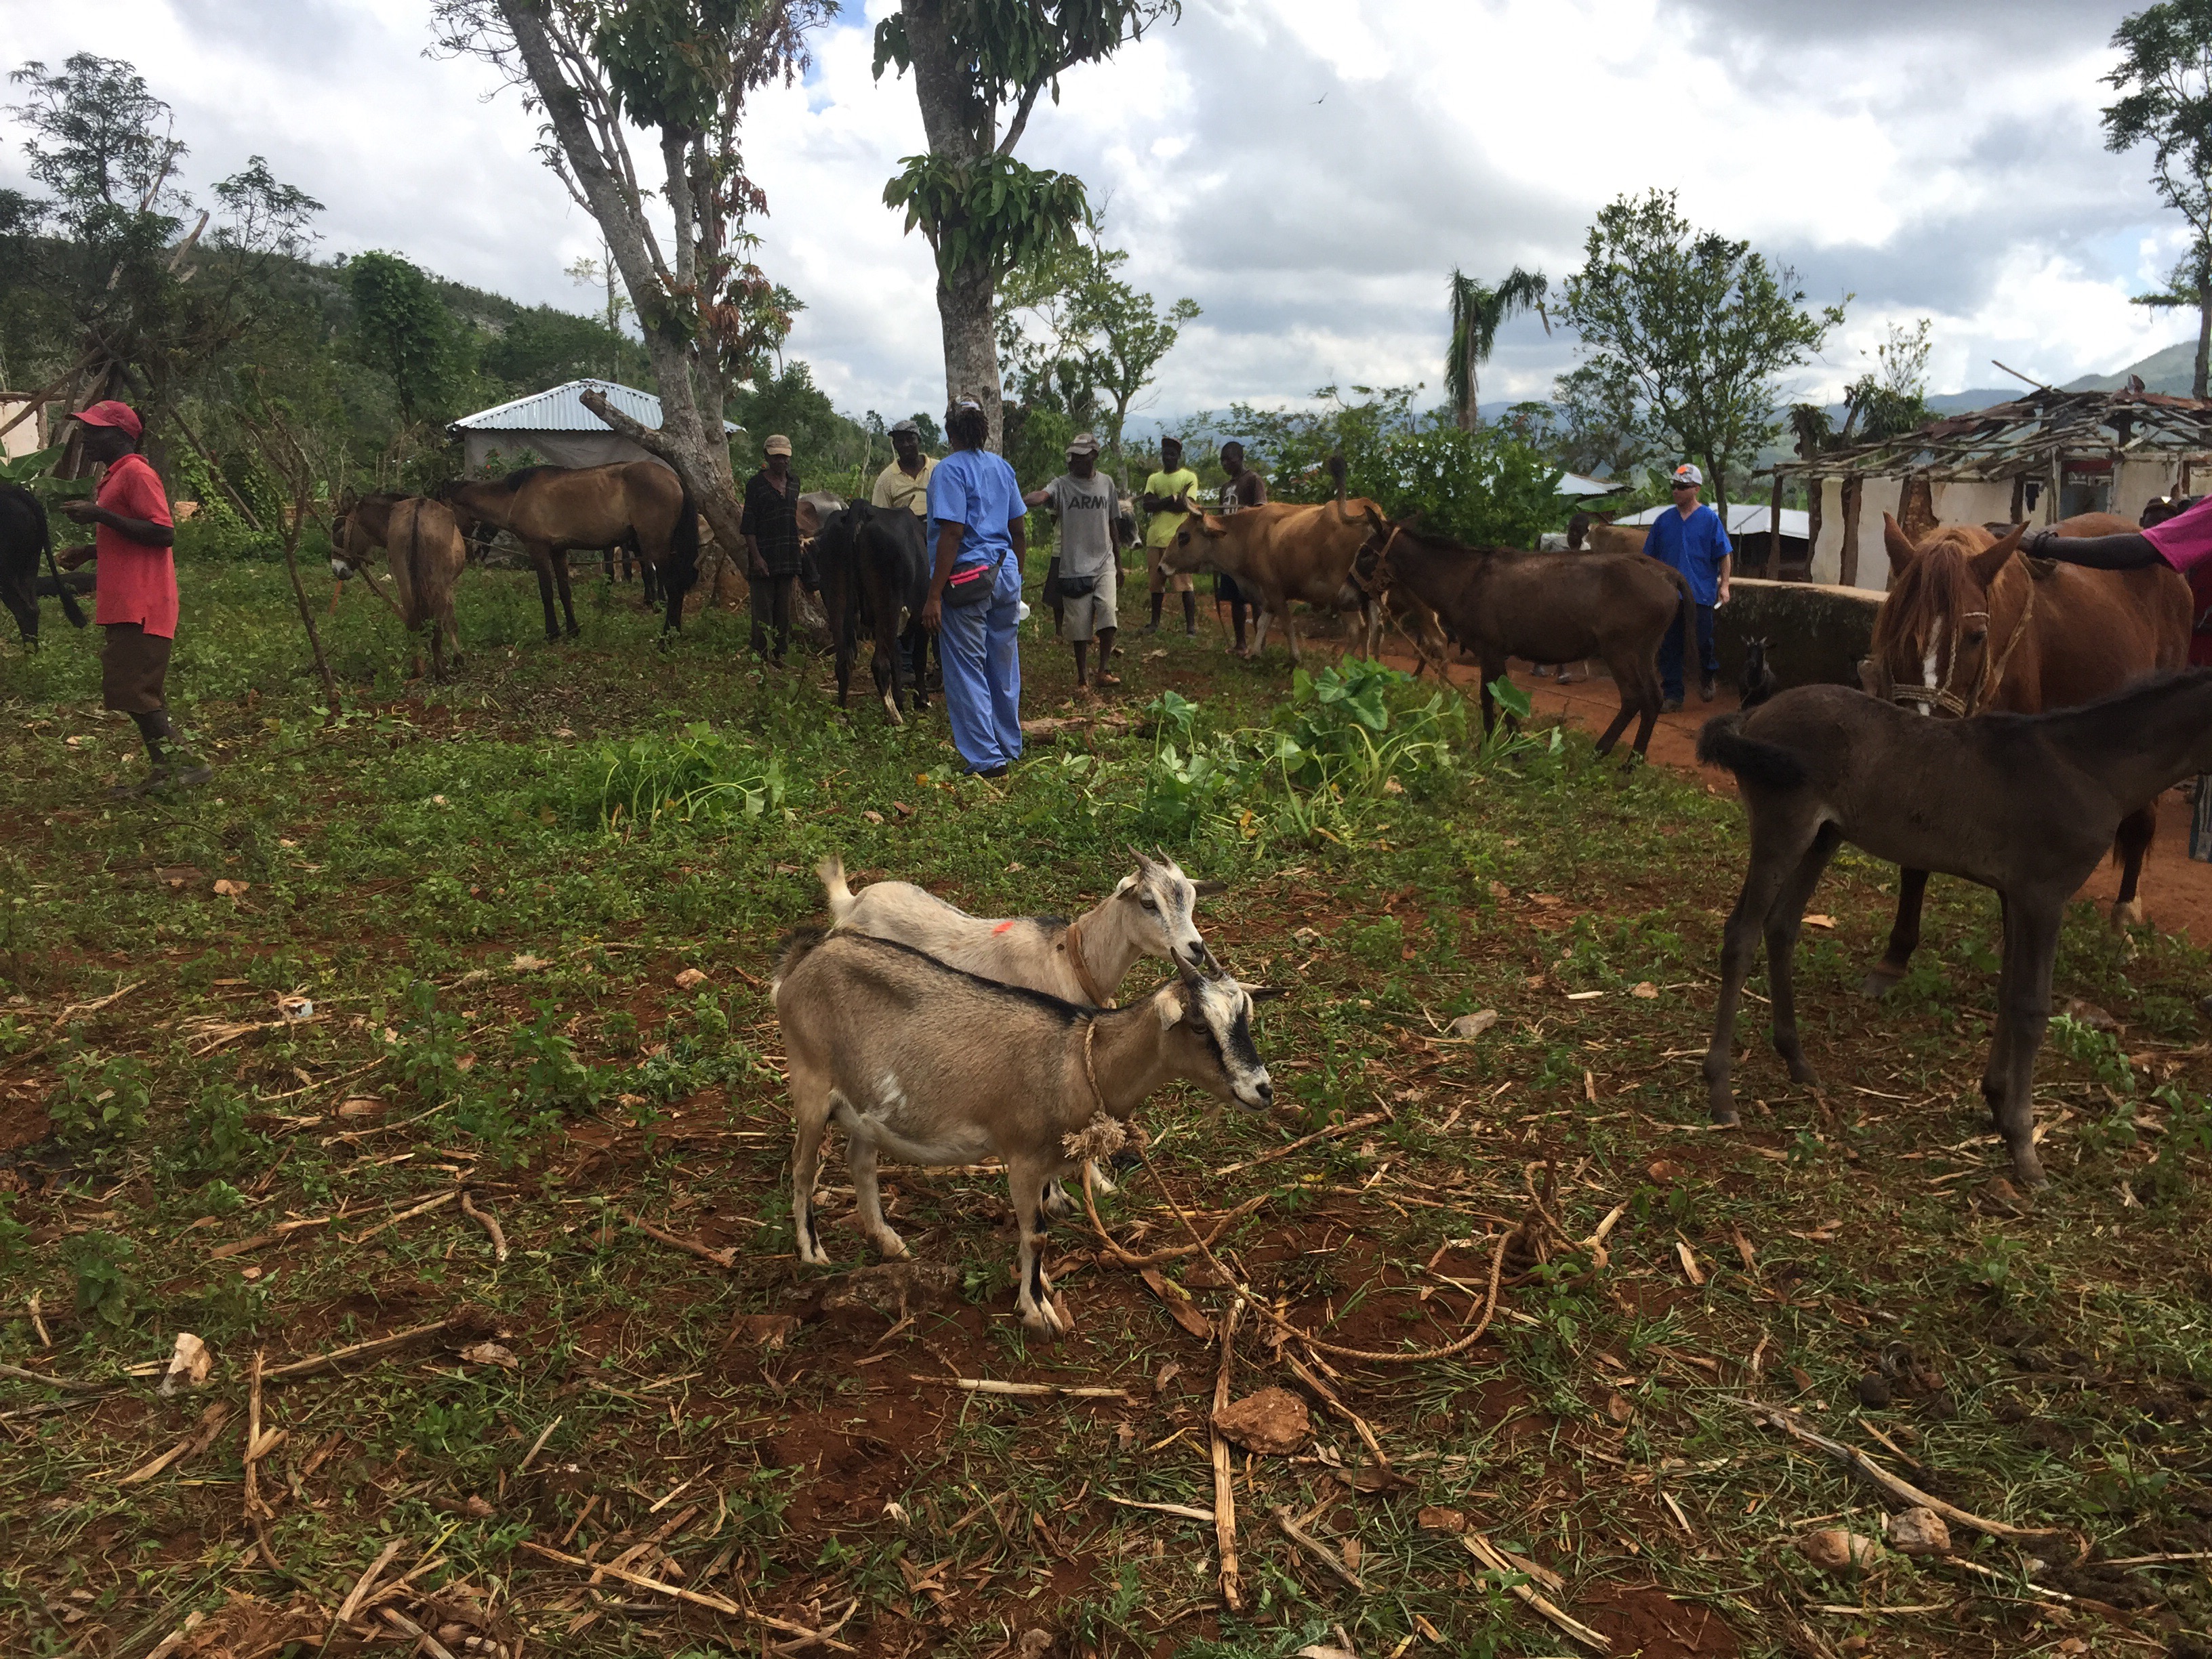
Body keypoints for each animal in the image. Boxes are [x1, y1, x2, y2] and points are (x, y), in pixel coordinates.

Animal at [436, 461, 698, 641]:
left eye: (443, 508)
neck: (517, 495)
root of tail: (674, 478)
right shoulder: (559, 551)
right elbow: (564, 591)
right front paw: (573, 630)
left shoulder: (538, 550)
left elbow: (546, 592)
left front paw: (552, 633)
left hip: (656, 547)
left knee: (673, 587)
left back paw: (666, 637)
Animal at [773, 929, 1276, 1334]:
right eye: (1199, 1024)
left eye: (1245, 1018)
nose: (1262, 1090)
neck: (1081, 1061)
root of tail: (808, 958)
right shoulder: (1024, 1159)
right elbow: (1036, 1235)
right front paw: (1037, 1312)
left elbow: (1038, 1226)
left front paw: (1043, 1283)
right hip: (810, 1083)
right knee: (803, 1167)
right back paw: (812, 1252)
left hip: (866, 1106)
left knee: (860, 1162)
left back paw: (888, 1240)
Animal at [1697, 670, 2212, 1187]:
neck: (2090, 770)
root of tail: (1756, 712)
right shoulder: (2044, 897)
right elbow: (2033, 1008)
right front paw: (2025, 1148)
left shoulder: (2014, 895)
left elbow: (2009, 994)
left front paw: (1997, 1105)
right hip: (1782, 831)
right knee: (1741, 934)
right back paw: (1721, 1091)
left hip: (1823, 837)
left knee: (1782, 927)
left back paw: (1797, 1061)